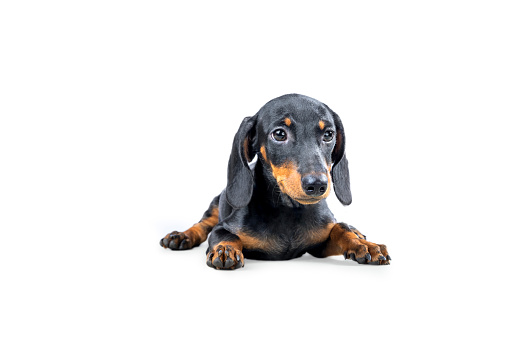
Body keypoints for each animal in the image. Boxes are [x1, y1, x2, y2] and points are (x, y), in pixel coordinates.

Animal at [159, 93, 388, 270]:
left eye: (329, 134)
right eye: (279, 134)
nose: (317, 185)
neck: (288, 209)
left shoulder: (319, 245)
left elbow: (339, 228)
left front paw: (363, 244)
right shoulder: (222, 227)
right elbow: (225, 234)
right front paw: (225, 248)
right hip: (216, 204)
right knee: (203, 223)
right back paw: (181, 236)